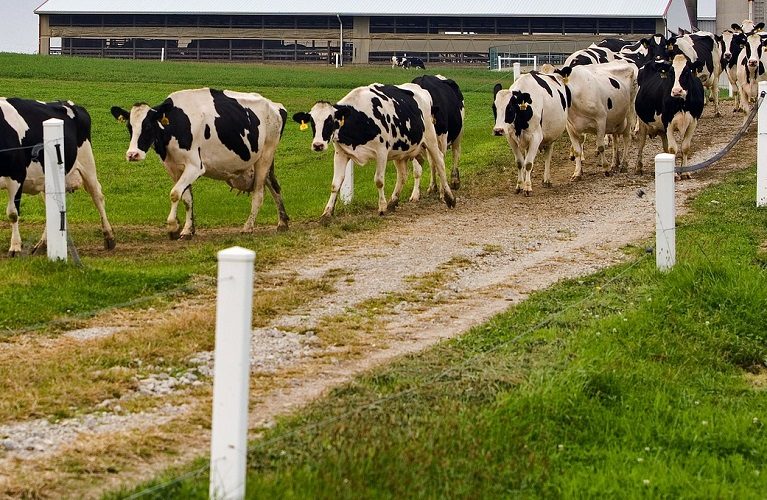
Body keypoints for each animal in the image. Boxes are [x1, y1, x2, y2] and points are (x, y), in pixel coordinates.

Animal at [0, 97, 115, 256]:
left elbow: (13, 213)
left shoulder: (16, 176)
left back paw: (109, 236)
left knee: (97, 195)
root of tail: (68, 102)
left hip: (87, 162)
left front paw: (15, 247)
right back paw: (42, 244)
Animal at [113, 87, 292, 238]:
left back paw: (248, 227)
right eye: (130, 127)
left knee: (259, 194)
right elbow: (186, 198)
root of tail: (276, 106)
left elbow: (174, 193)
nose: (132, 154)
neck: (177, 124)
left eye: (148, 126)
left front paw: (173, 226)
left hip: (265, 157)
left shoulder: (195, 167)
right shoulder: (174, 168)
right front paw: (187, 230)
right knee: (275, 187)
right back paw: (282, 222)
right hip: (262, 162)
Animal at [292, 83, 452, 221]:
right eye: (312, 122)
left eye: (330, 121)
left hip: (431, 138)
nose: (318, 145)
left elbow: (379, 181)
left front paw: (381, 207)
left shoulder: (382, 152)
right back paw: (393, 201)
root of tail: (421, 90)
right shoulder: (341, 154)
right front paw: (327, 212)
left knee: (440, 162)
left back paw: (448, 197)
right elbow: (335, 184)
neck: (359, 118)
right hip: (400, 151)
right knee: (403, 175)